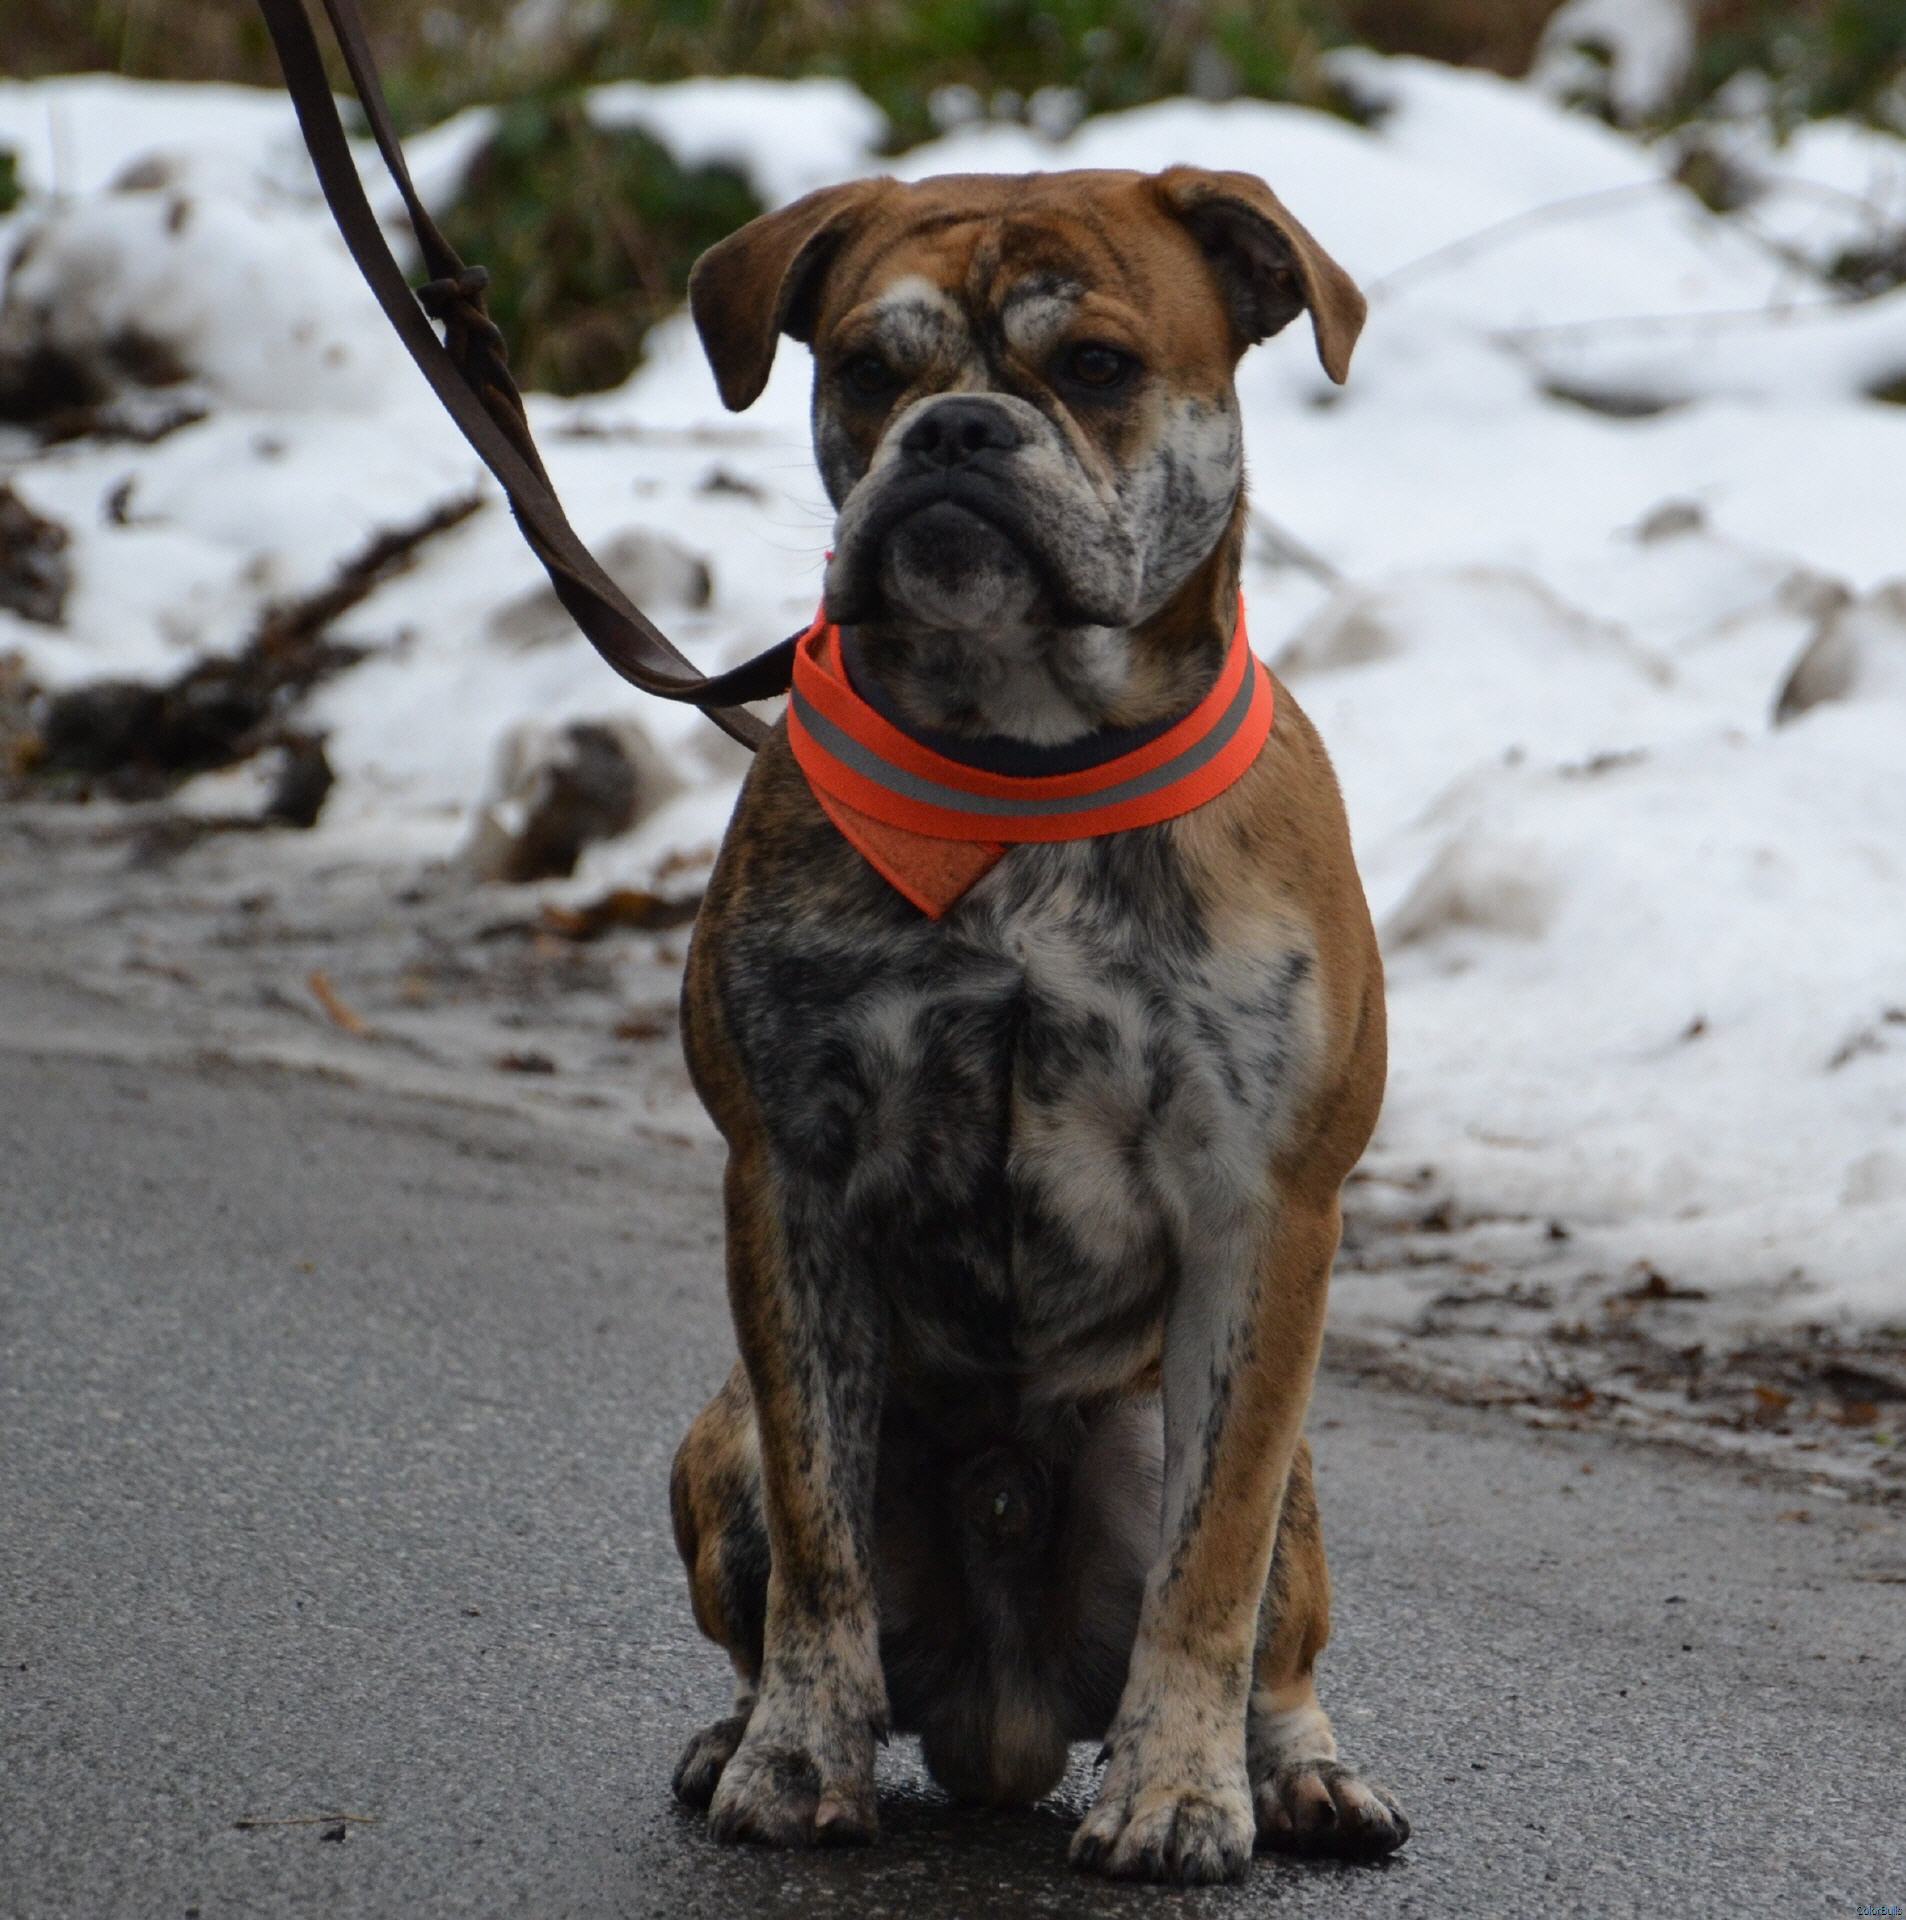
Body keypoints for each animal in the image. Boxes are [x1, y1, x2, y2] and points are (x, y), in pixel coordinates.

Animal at [665, 166, 1407, 1885]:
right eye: (867, 369)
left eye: (1096, 368)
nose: (953, 431)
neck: (1021, 758)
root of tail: (995, 1726)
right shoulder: (785, 1180)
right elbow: (817, 1535)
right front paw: (796, 1755)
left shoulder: (1266, 1214)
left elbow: (1208, 1567)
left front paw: (1177, 1793)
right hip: (710, 1438)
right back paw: (742, 1731)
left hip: (1281, 1480)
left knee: (1274, 1632)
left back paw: (1299, 1777)